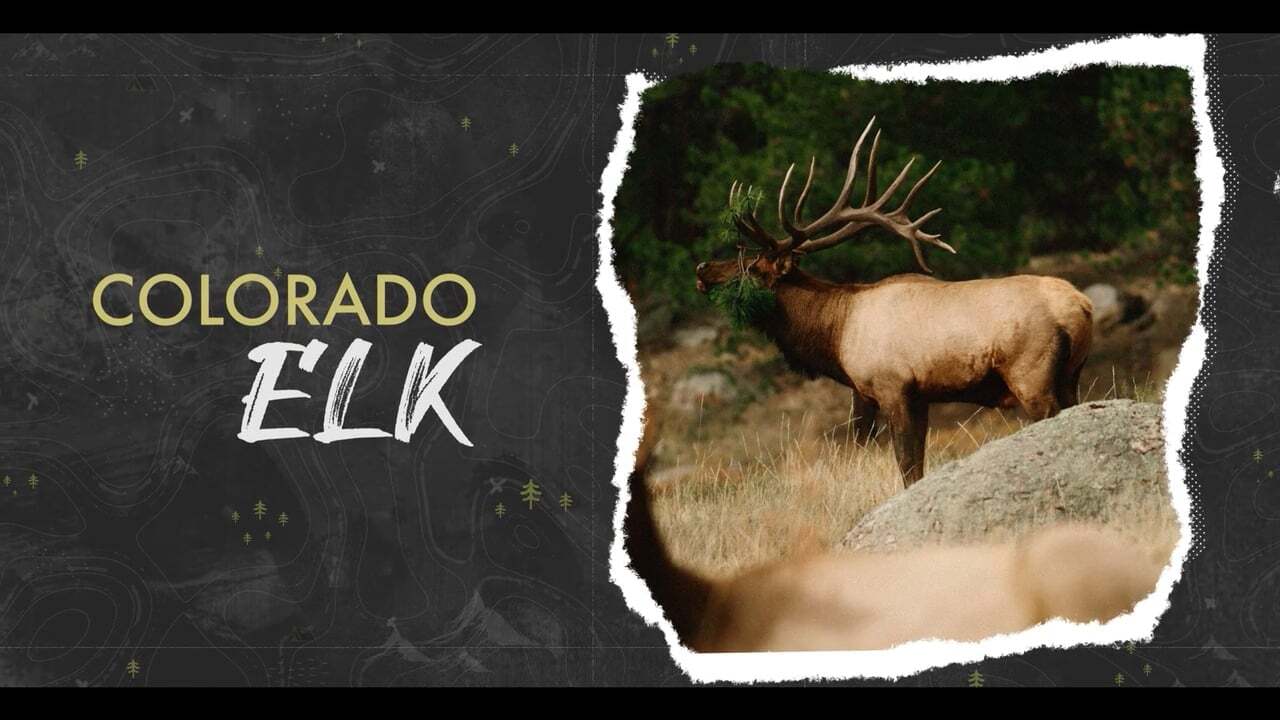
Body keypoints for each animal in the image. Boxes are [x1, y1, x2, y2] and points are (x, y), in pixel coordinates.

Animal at [694, 117, 1093, 486]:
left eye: (753, 266)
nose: (702, 268)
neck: (835, 335)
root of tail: (1081, 306)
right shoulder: (909, 396)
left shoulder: (891, 386)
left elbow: (907, 465)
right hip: (1071, 375)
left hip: (1031, 373)